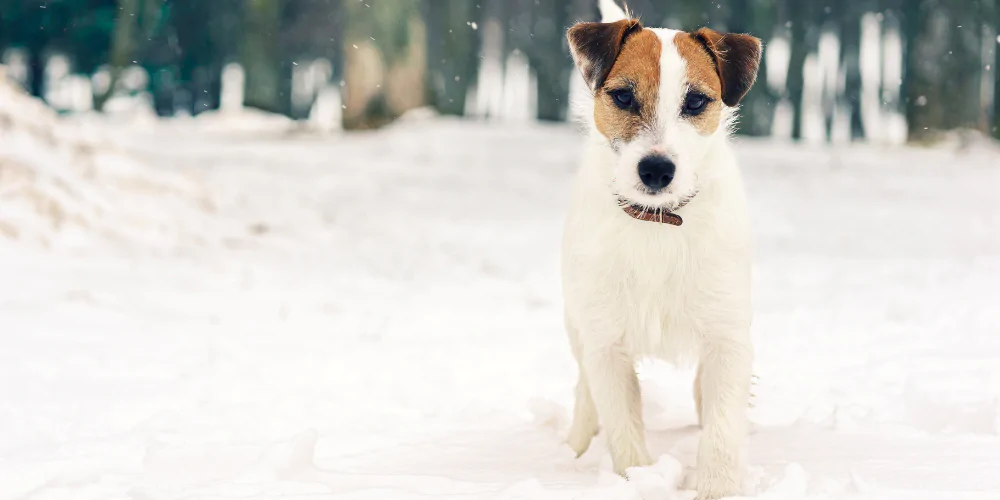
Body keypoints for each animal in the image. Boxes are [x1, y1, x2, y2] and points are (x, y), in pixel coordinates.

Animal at [560, 1, 760, 498]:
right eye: (623, 98)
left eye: (695, 102)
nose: (656, 169)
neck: (657, 223)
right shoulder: (606, 344)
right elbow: (623, 429)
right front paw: (640, 481)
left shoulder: (727, 337)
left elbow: (722, 426)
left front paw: (716, 487)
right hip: (577, 323)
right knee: (584, 386)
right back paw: (575, 446)